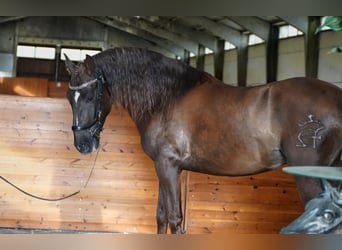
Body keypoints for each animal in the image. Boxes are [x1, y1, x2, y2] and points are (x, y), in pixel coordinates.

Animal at [65, 47, 342, 234]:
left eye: (89, 96)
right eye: (69, 98)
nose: (82, 145)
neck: (167, 99)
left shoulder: (168, 166)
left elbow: (175, 219)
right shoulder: (165, 168)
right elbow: (161, 216)